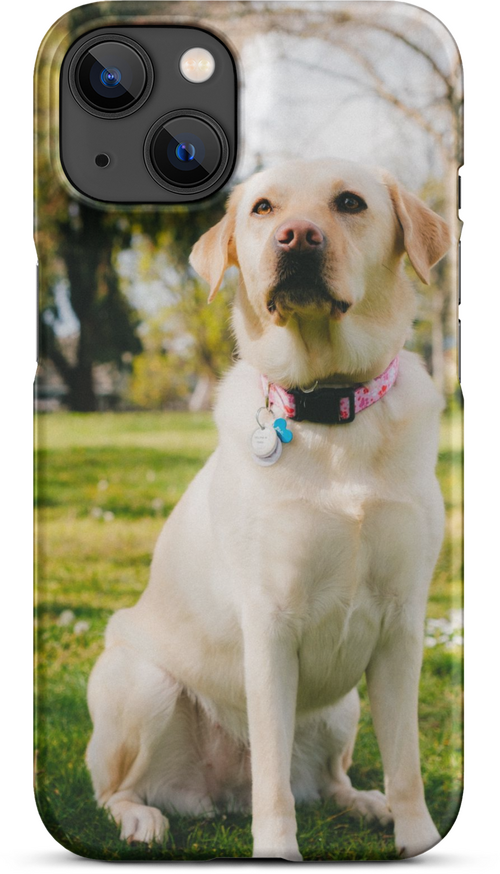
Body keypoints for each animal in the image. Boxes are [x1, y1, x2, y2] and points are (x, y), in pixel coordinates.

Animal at [88, 158, 452, 860]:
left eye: (350, 202)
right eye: (262, 209)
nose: (296, 237)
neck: (331, 409)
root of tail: (219, 796)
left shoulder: (401, 625)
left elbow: (407, 764)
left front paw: (416, 836)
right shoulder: (271, 624)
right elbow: (274, 783)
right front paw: (278, 848)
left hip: (343, 709)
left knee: (329, 779)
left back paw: (364, 803)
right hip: (142, 685)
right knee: (119, 790)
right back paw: (141, 818)